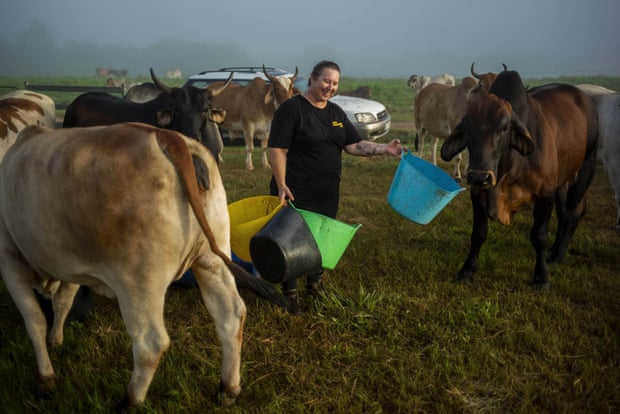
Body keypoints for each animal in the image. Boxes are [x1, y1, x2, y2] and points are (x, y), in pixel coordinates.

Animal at [444, 69, 600, 286]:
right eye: (468, 128)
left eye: (504, 128)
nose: (479, 176)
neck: (509, 168)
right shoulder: (478, 192)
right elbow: (479, 233)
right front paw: (467, 270)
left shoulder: (545, 194)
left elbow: (539, 236)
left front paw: (541, 276)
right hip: (562, 179)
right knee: (563, 212)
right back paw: (555, 248)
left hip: (586, 166)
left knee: (573, 212)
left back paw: (557, 255)